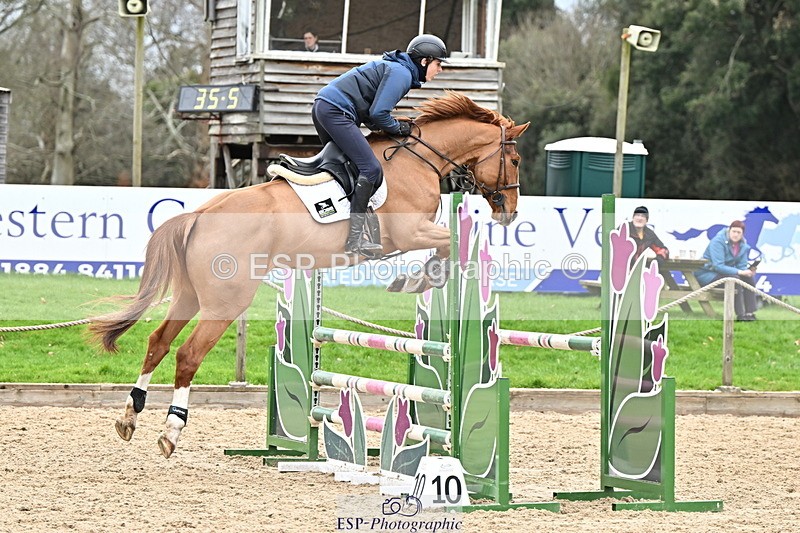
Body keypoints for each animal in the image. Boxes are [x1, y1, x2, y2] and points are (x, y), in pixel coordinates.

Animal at [88, 91, 530, 458]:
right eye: (516, 160)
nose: (509, 212)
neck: (417, 159)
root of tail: (198, 215)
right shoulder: (411, 232)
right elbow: (445, 246)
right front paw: (418, 279)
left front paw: (421, 278)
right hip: (225, 302)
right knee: (187, 354)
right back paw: (170, 431)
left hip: (190, 296)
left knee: (158, 342)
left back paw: (129, 415)